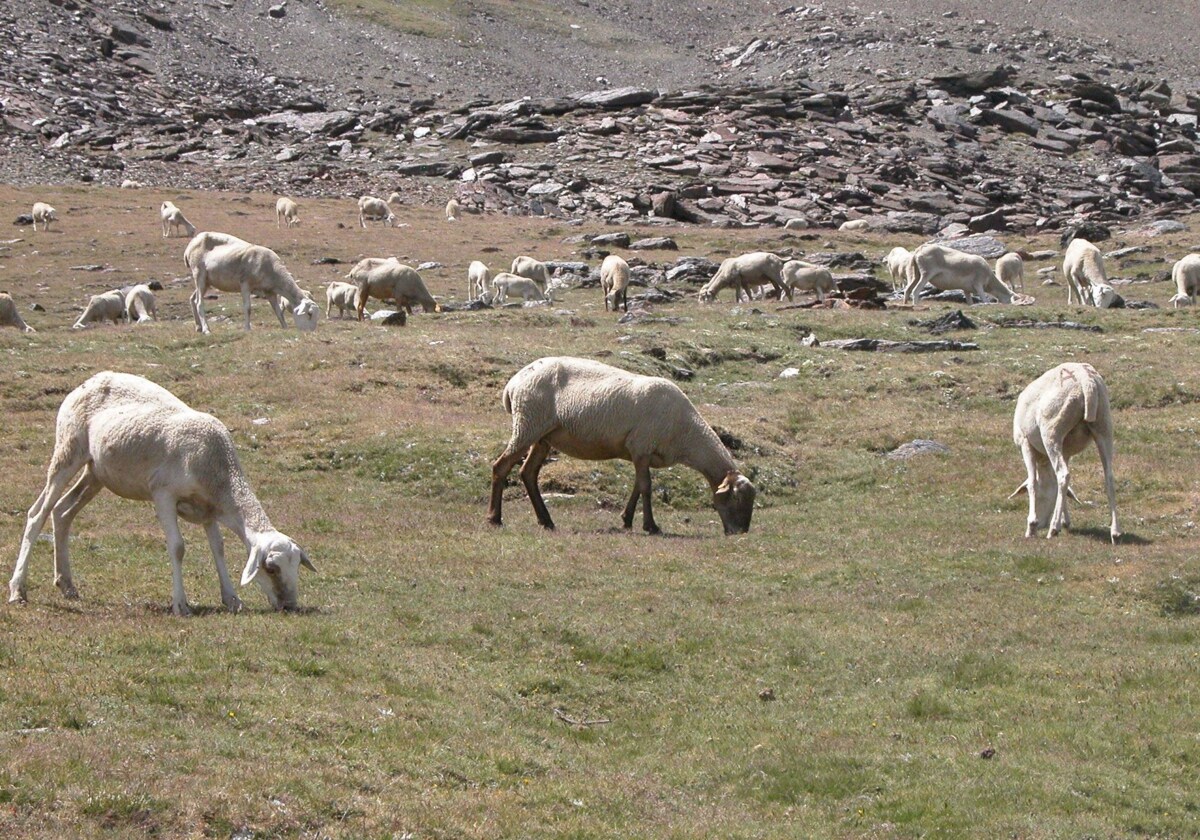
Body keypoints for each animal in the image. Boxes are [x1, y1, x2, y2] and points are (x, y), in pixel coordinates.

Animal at [7, 369, 316, 614]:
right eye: (271, 568)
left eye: (297, 566)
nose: (290, 606)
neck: (219, 471)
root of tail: (90, 379)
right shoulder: (163, 494)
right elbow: (178, 547)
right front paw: (181, 604)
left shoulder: (207, 509)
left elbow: (218, 548)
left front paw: (231, 598)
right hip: (68, 450)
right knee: (38, 513)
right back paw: (18, 590)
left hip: (96, 472)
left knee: (62, 511)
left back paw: (67, 584)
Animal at [184, 231, 321, 336]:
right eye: (309, 314)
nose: (311, 332)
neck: (273, 269)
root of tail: (190, 246)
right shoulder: (245, 284)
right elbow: (248, 308)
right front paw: (247, 328)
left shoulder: (270, 292)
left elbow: (278, 311)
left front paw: (285, 327)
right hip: (199, 274)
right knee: (199, 302)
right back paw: (206, 329)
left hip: (207, 281)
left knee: (192, 299)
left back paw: (198, 327)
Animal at [484, 357, 748, 535]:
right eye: (736, 499)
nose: (741, 532)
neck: (686, 433)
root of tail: (513, 383)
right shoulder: (642, 445)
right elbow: (646, 486)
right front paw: (651, 526)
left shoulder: (640, 452)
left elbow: (638, 486)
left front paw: (627, 519)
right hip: (528, 425)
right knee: (501, 466)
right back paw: (494, 518)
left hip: (543, 436)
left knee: (527, 472)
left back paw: (546, 521)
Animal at [1008, 360, 1118, 544]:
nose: (1040, 524)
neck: (1043, 461)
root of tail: (1085, 380)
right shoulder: (1066, 452)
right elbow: (1065, 489)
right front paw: (1065, 520)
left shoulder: (1025, 443)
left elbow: (1033, 483)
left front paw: (1032, 525)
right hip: (1104, 425)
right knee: (1108, 476)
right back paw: (1115, 531)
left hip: (1052, 430)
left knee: (1063, 475)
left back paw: (1053, 529)